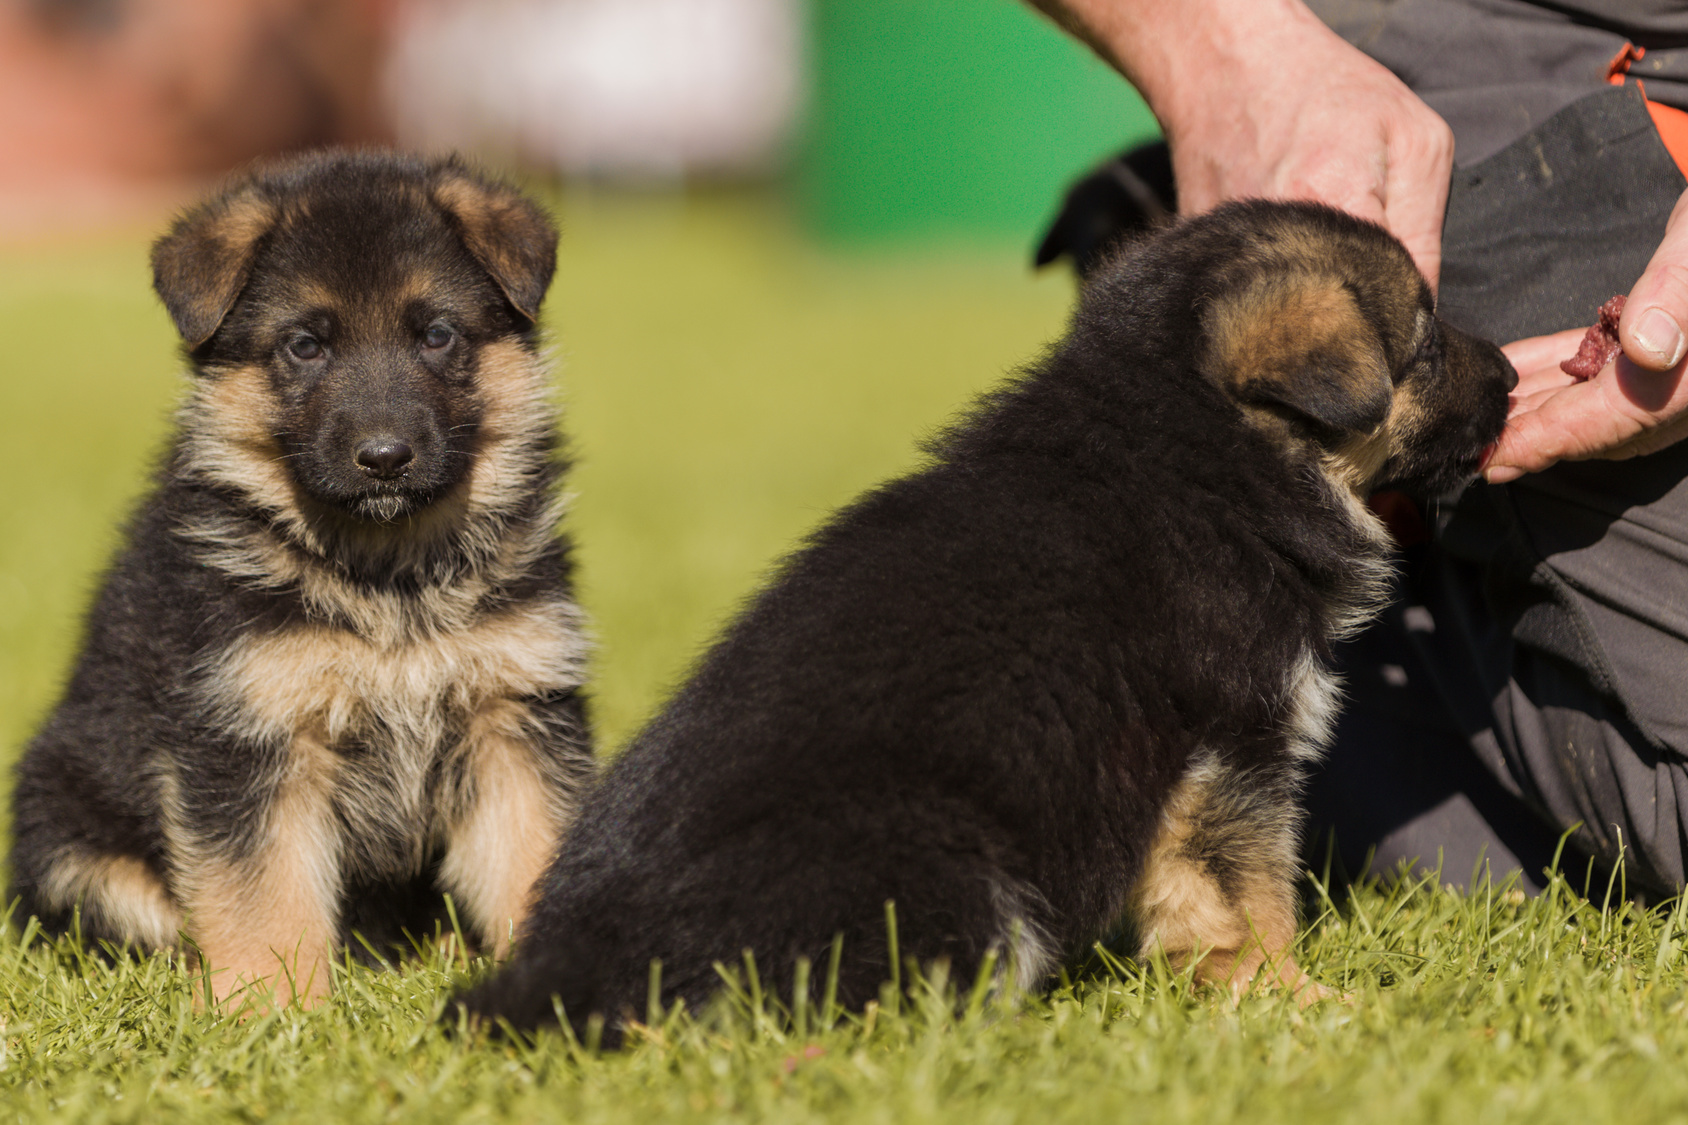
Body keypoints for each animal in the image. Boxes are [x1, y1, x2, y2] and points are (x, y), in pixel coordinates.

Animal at [8, 148, 594, 1000]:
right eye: (305, 345)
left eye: (438, 335)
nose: (385, 456)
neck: (387, 576)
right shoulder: (248, 735)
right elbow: (263, 893)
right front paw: (272, 1006)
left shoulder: (515, 717)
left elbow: (533, 853)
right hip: (69, 834)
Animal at [455, 199, 1525, 1033]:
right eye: (1426, 342)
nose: (1516, 376)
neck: (1196, 448)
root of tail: (582, 970)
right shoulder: (1231, 756)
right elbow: (1252, 902)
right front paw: (1302, 1001)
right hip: (957, 871)